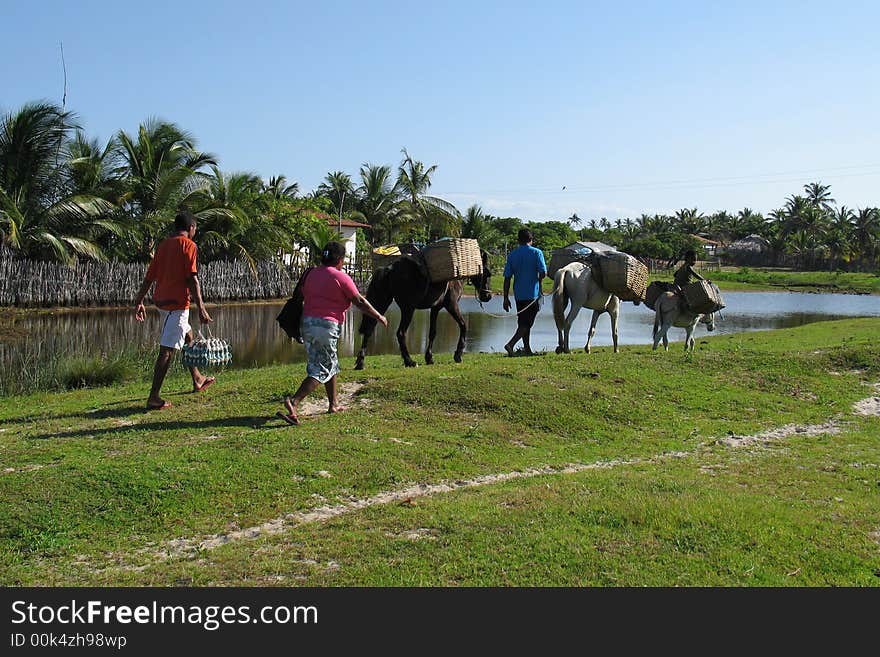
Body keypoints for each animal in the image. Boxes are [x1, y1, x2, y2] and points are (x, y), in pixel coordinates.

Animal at [358, 250, 496, 366]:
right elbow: (463, 325)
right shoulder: (451, 305)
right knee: (400, 333)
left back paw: (360, 362)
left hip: (381, 303)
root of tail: (389, 268)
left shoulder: (435, 308)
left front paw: (429, 358)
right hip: (408, 309)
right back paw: (409, 361)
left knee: (369, 328)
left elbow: (432, 332)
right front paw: (458, 355)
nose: (488, 296)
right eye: (487, 273)